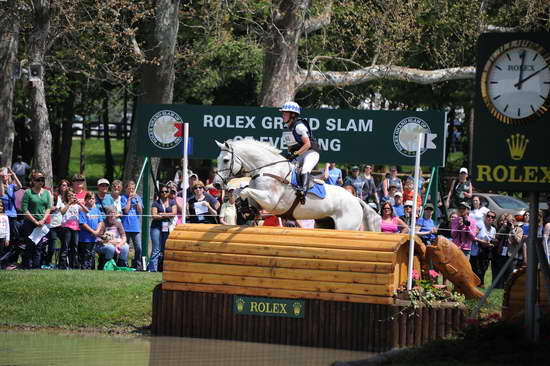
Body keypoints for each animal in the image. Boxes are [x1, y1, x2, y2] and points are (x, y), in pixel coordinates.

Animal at [213, 139, 382, 230]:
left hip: (346, 225)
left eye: (226, 160)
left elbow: (244, 191)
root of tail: (356, 200)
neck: (267, 169)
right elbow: (241, 192)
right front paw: (247, 210)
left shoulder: (271, 200)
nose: (216, 184)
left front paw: (247, 208)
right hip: (324, 223)